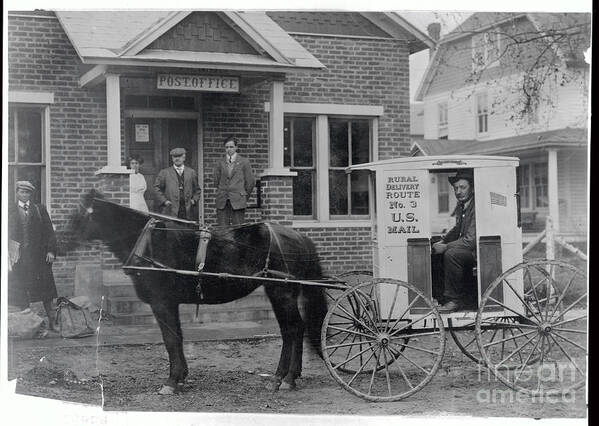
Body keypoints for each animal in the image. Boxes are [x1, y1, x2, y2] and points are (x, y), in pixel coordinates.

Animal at [75, 191, 330, 394]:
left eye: (82, 214)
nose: (67, 240)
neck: (148, 241)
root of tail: (300, 236)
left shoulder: (161, 303)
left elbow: (170, 339)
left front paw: (171, 382)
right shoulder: (171, 303)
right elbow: (177, 337)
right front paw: (180, 377)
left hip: (282, 292)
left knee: (294, 329)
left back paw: (286, 378)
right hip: (278, 292)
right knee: (291, 330)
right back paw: (283, 377)